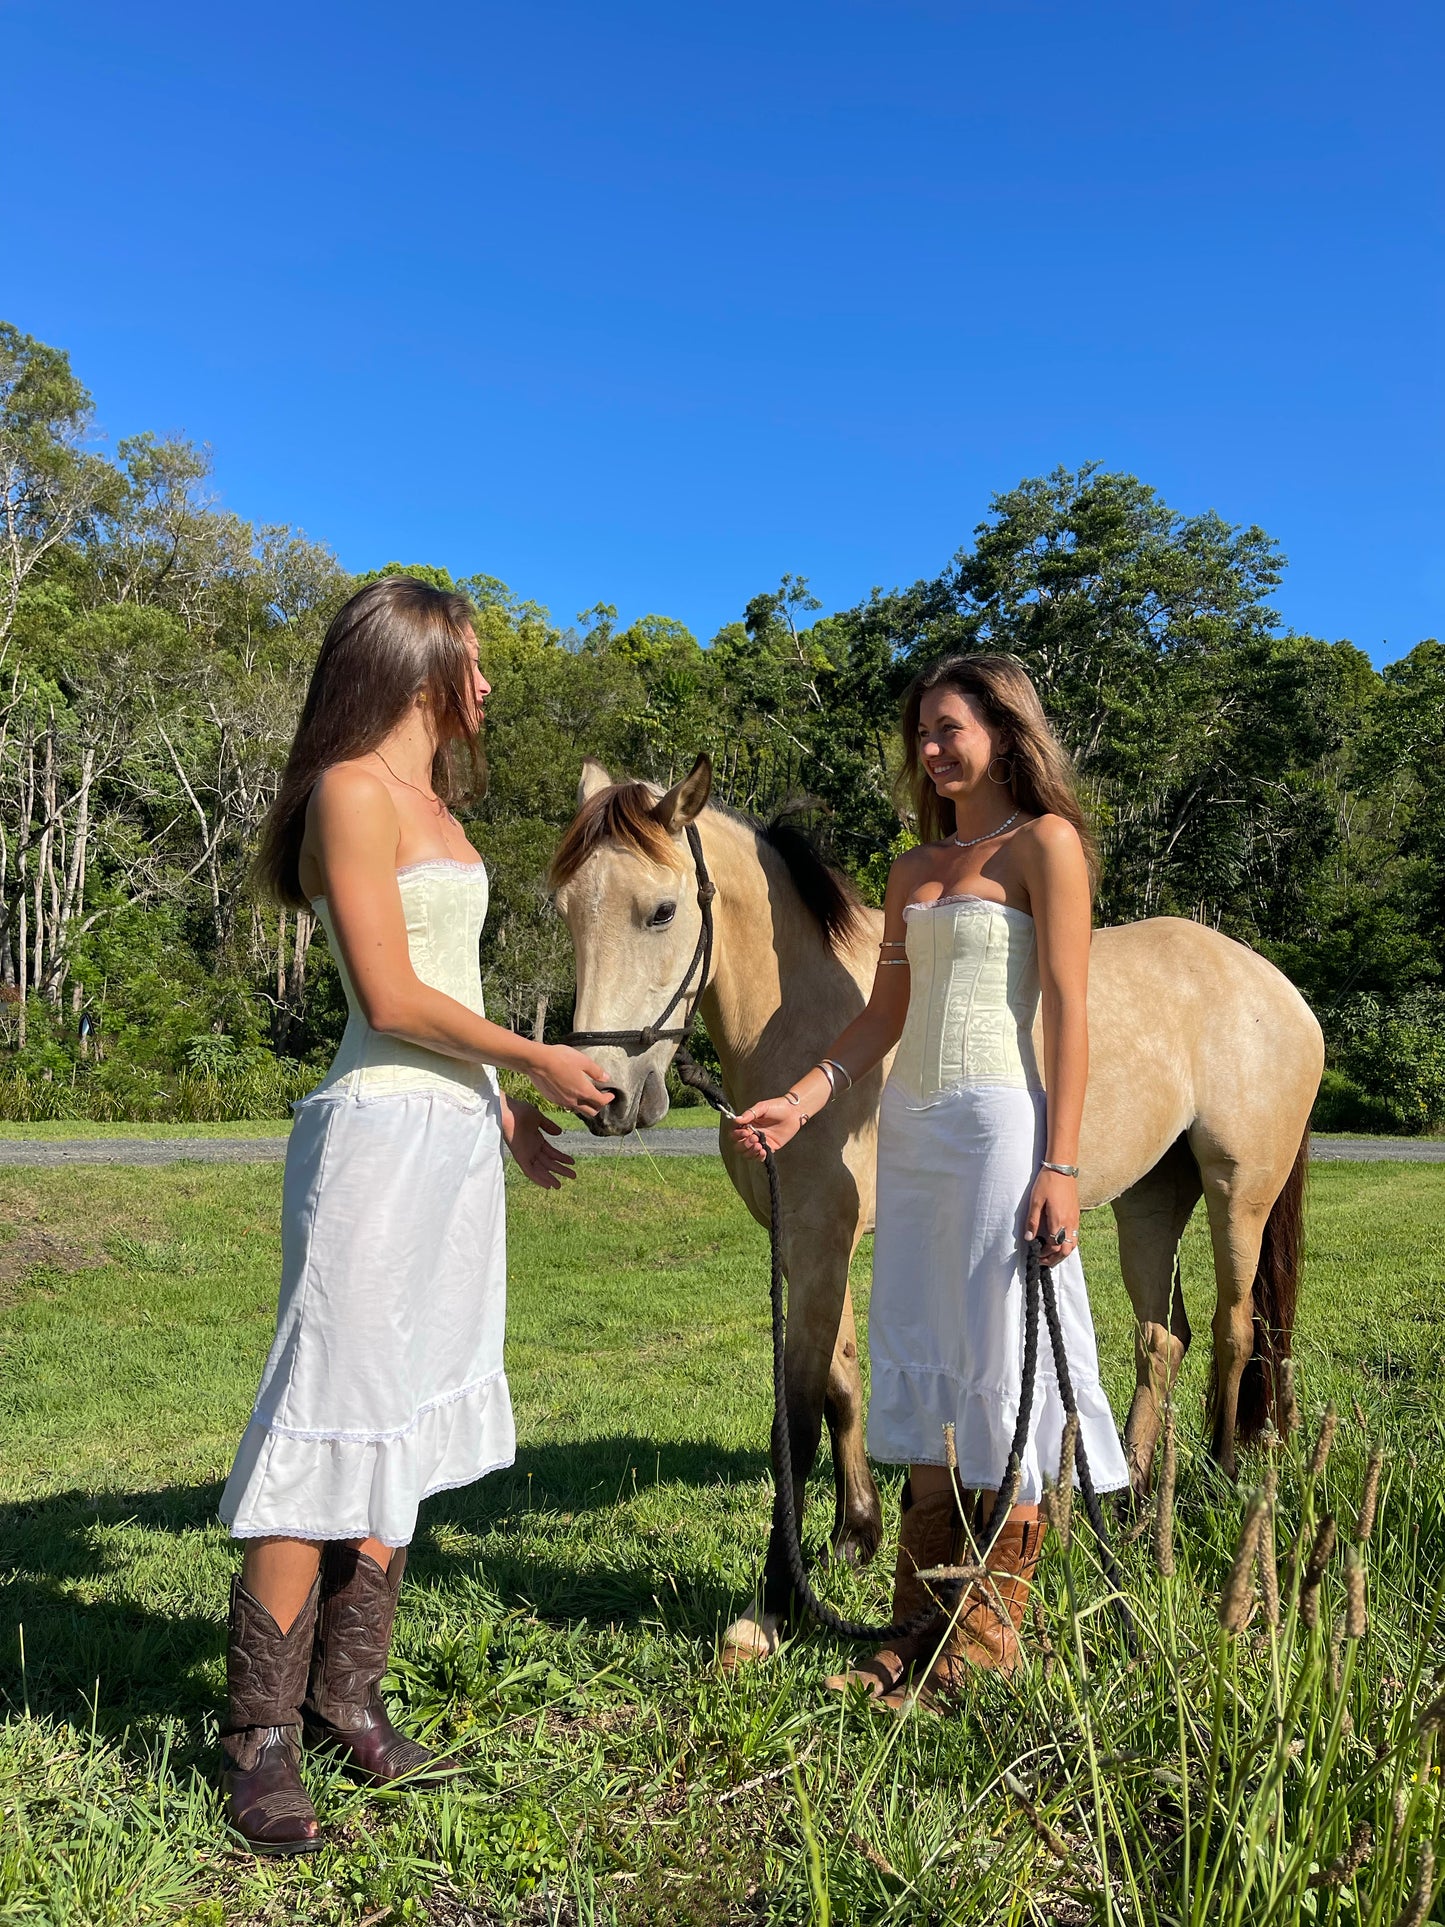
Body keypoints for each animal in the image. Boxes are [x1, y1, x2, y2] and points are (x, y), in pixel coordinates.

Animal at [547, 759, 1333, 1664]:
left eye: (662, 910)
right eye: (566, 908)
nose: (603, 1097)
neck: (813, 1025)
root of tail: (1277, 987)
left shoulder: (820, 1242)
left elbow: (799, 1414)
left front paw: (772, 1605)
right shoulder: (809, 1241)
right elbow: (843, 1382)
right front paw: (853, 1534)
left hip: (1237, 1191)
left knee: (1235, 1332)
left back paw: (1218, 1482)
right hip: (1148, 1200)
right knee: (1160, 1338)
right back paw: (1126, 1507)